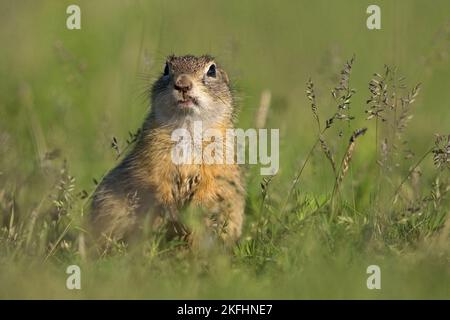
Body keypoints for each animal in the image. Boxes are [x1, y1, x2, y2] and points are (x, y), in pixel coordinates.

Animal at [91, 55, 244, 248]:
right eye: (166, 69)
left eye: (212, 70)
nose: (182, 84)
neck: (188, 126)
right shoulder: (151, 152)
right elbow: (153, 178)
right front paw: (171, 210)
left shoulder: (221, 158)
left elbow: (213, 184)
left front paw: (193, 211)